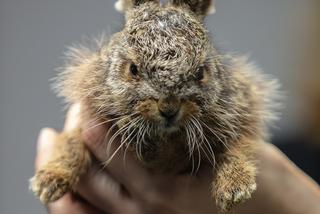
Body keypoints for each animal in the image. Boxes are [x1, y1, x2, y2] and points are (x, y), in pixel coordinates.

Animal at [30, 0, 280, 211]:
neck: (164, 136)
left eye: (200, 73)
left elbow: (241, 145)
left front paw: (234, 189)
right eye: (133, 69)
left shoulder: (242, 109)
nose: (168, 108)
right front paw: (49, 182)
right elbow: (71, 142)